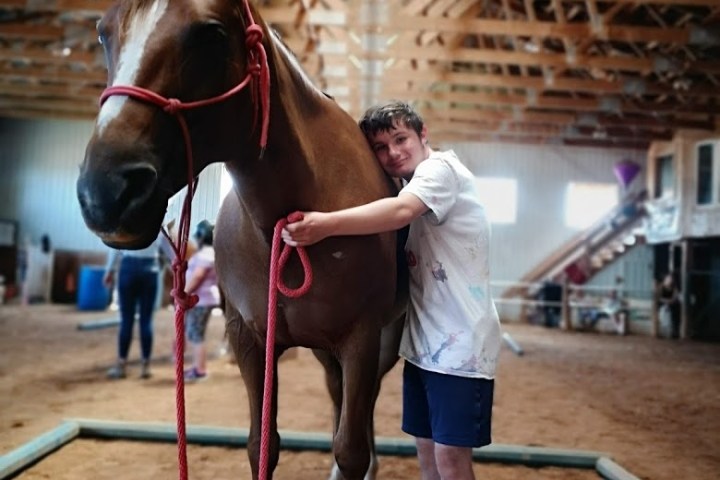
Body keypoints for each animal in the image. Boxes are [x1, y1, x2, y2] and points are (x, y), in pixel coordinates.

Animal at [76, 1, 407, 479]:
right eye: (103, 33)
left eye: (210, 34)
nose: (104, 191)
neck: (284, 228)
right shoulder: (248, 338)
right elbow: (261, 445)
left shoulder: (361, 338)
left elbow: (351, 449)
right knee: (337, 392)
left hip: (382, 342)